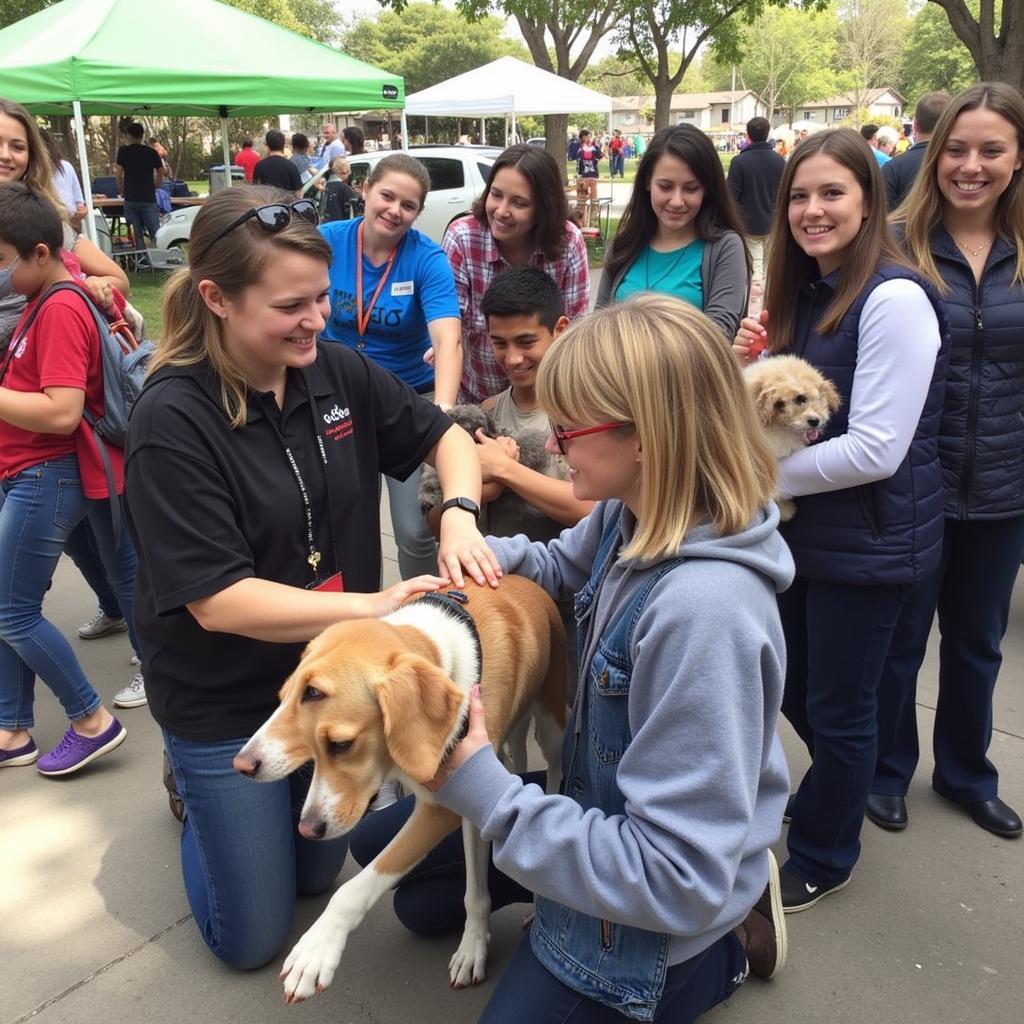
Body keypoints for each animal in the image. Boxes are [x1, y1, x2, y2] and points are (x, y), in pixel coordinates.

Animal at [233, 581, 569, 1003]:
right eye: (281, 702)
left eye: (342, 745)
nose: (308, 830)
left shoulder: (446, 805)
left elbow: (361, 886)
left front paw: (318, 947)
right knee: (516, 757)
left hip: (552, 724)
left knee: (556, 769)